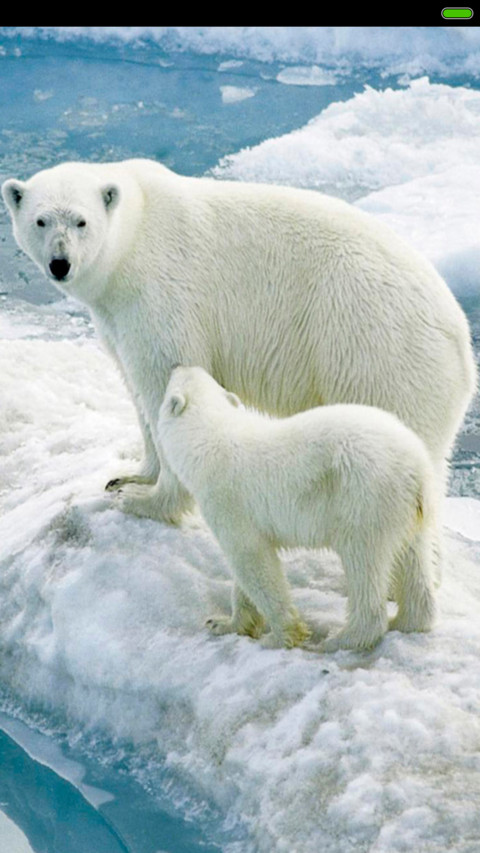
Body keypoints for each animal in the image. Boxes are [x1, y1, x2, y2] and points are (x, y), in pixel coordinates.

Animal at [1, 160, 475, 552]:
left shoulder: (160, 293)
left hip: (377, 356)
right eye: (41, 220)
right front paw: (129, 476)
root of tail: (462, 344)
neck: (133, 236)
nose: (60, 263)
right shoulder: (115, 315)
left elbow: (163, 379)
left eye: (81, 221)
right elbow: (135, 387)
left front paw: (146, 500)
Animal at [157, 366, 438, 652]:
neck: (212, 439)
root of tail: (416, 467)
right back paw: (406, 620)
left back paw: (339, 639)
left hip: (364, 498)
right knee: (412, 557)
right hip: (407, 510)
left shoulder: (228, 500)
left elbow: (252, 560)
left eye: (173, 383)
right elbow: (246, 571)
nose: (179, 366)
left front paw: (280, 636)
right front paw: (223, 623)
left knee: (363, 561)